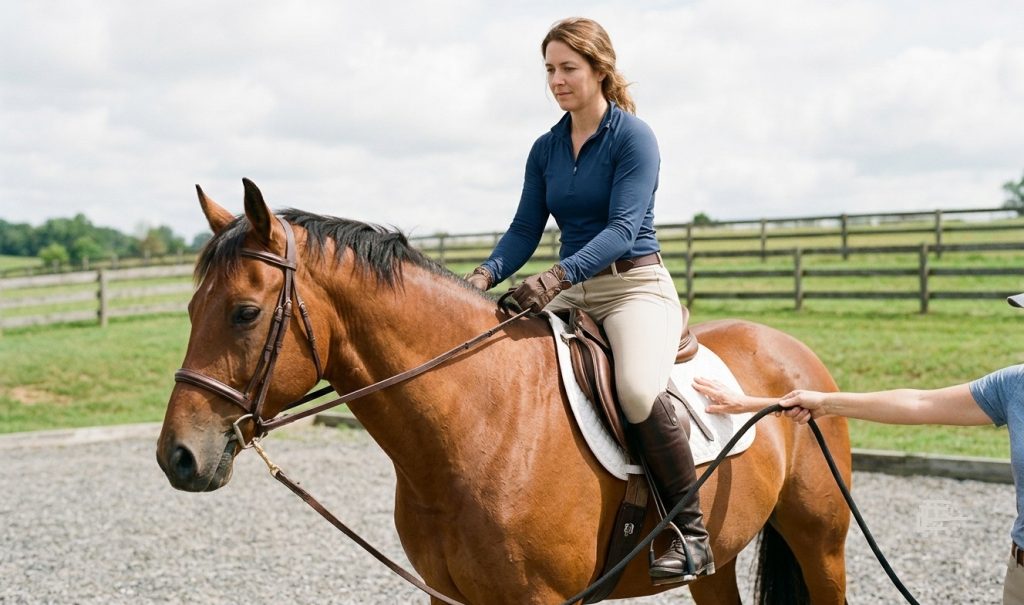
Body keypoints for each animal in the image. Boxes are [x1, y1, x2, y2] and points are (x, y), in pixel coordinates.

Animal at [157, 180, 852, 605]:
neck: (477, 423)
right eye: (189, 308)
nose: (178, 457)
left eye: (245, 313)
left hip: (823, 543)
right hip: (725, 558)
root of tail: (790, 350)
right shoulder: (448, 596)